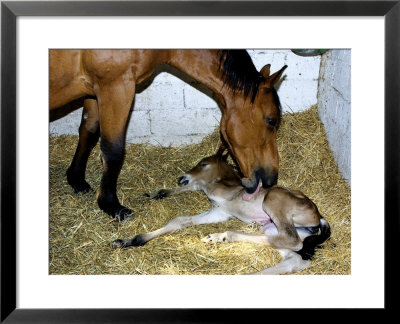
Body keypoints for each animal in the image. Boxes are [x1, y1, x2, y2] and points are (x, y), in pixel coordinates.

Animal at [111, 148, 330, 274]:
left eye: (204, 163)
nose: (182, 177)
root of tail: (318, 217)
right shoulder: (219, 211)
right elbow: (180, 220)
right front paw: (129, 240)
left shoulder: (218, 199)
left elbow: (196, 186)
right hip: (271, 230)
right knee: (294, 258)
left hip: (273, 201)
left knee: (292, 241)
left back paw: (221, 236)